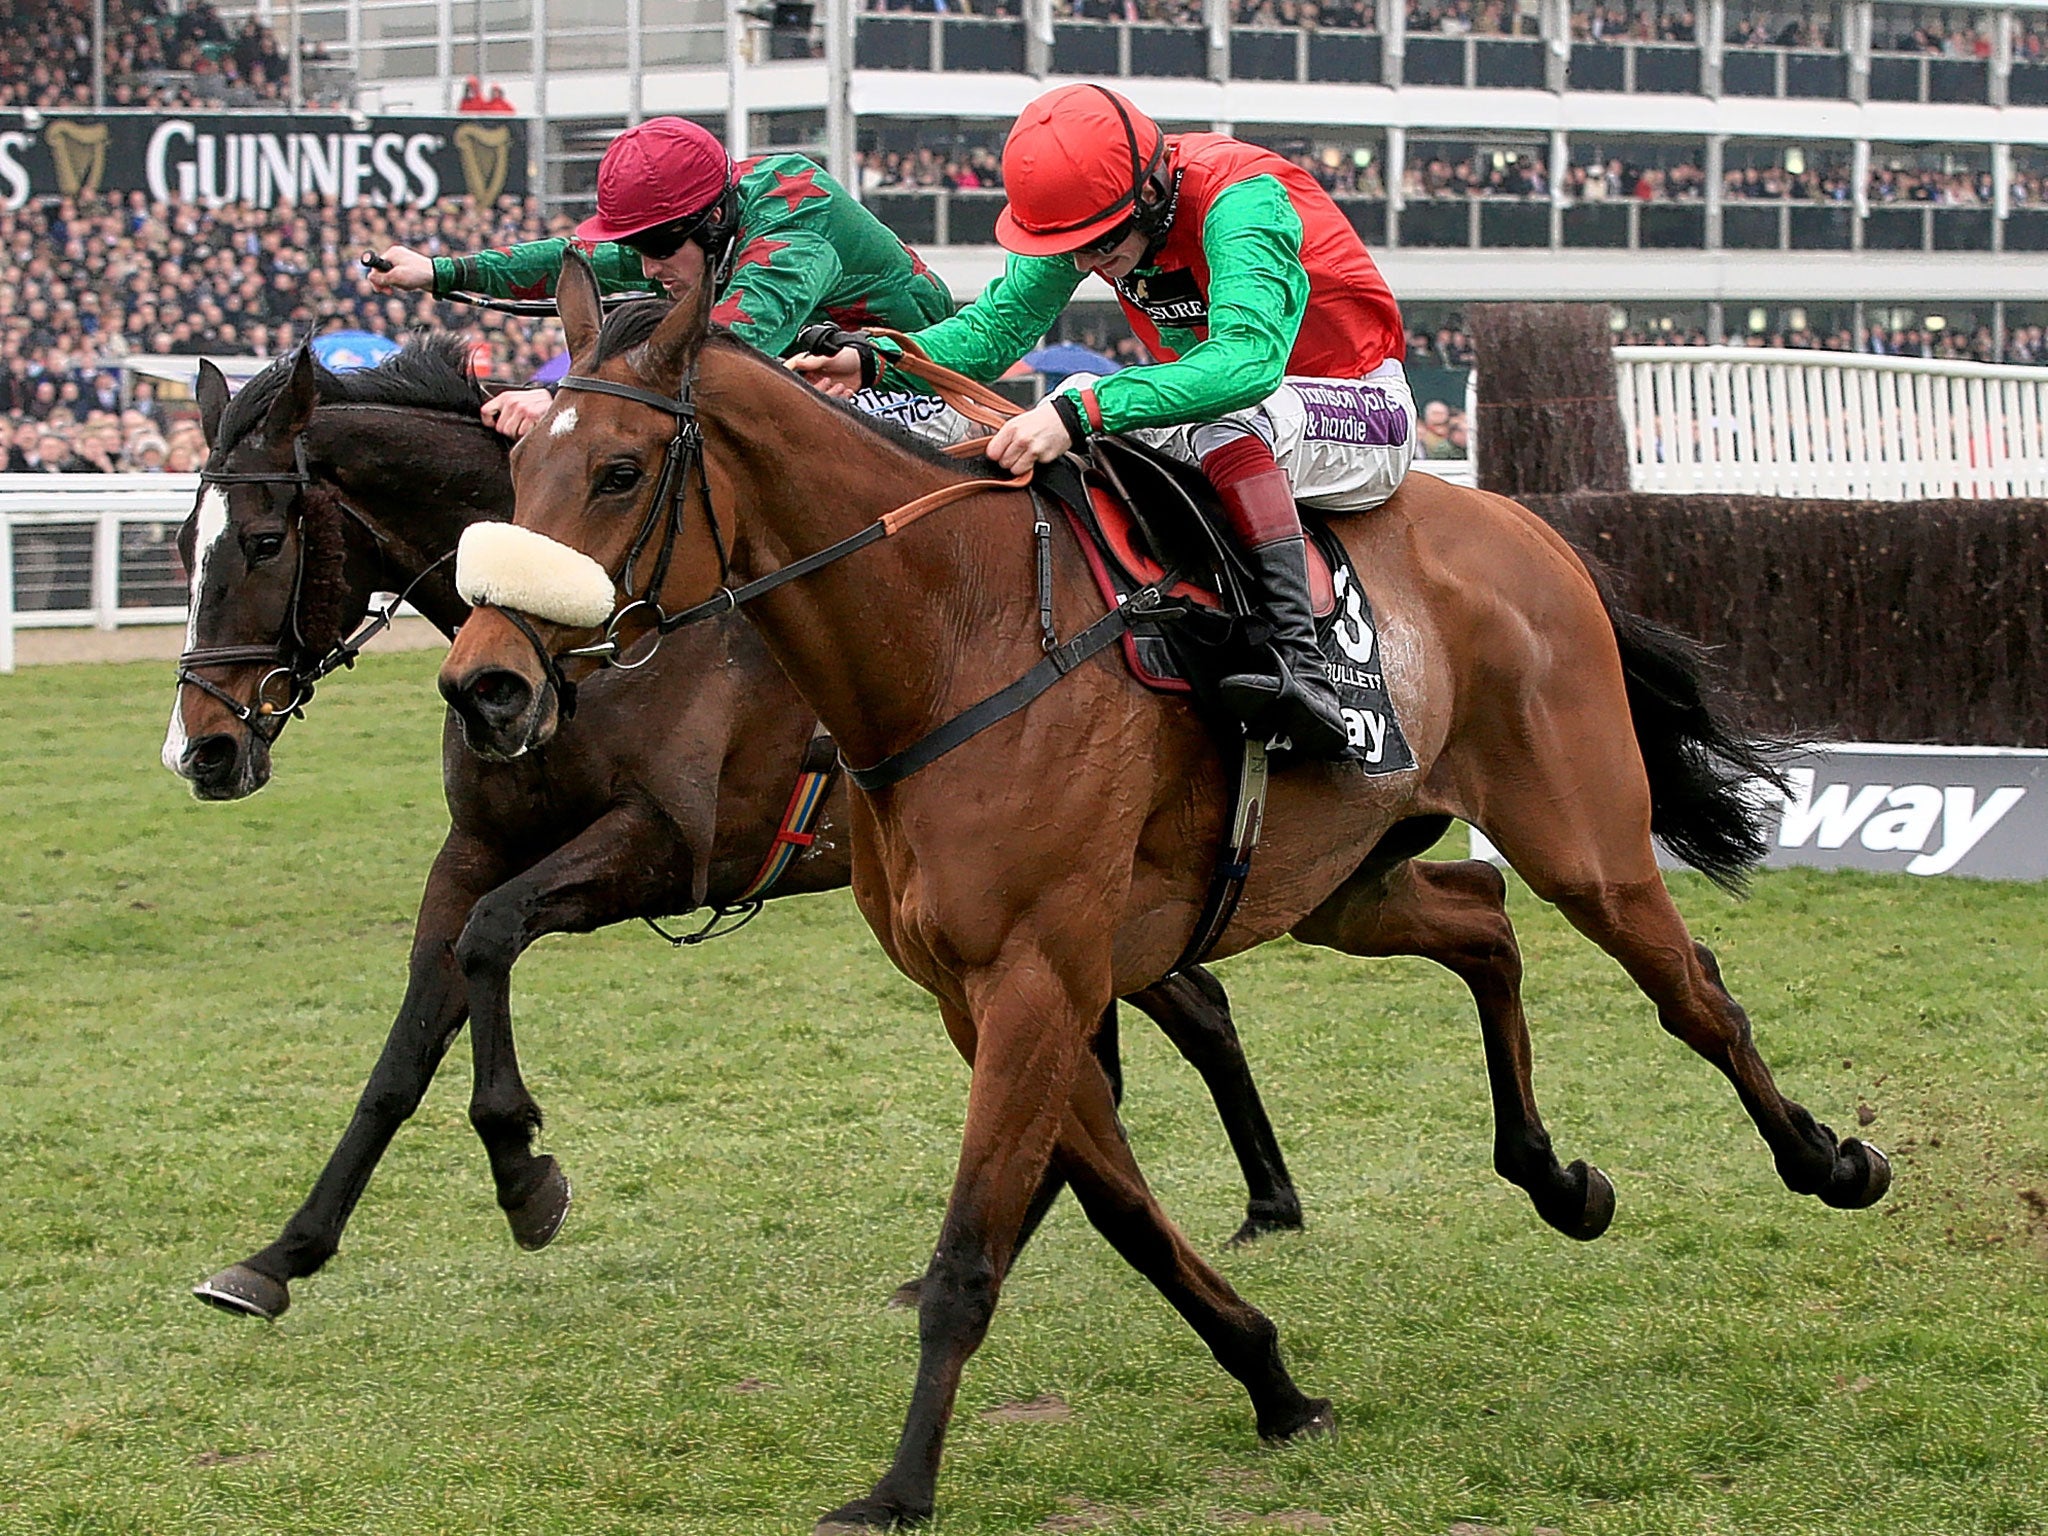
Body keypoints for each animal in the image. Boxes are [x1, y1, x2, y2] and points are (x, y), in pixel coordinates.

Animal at [167, 339, 1302, 1327]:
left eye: (263, 542)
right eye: (181, 544)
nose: (202, 750)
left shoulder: (667, 848)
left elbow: (491, 939)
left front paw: (525, 1174)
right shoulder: (474, 849)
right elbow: (407, 1046)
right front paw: (281, 1256)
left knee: (1164, 1020)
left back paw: (1251, 1207)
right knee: (1174, 1015)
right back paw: (1251, 1205)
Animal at [440, 252, 1892, 1531]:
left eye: (619, 469)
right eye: (518, 463)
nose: (485, 683)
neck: (951, 640)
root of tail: (1527, 526)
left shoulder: (1038, 975)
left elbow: (975, 1246)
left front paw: (898, 1488)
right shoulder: (981, 995)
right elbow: (1120, 1211)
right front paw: (1273, 1380)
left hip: (1582, 836)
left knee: (1692, 993)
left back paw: (1829, 1159)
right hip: (1340, 885)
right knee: (1483, 931)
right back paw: (1552, 1177)